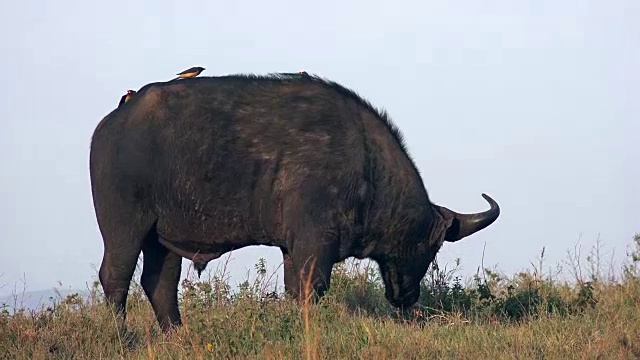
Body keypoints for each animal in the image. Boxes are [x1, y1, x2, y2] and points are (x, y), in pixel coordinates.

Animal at [90, 73, 500, 332]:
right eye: (429, 246)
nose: (409, 296)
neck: (364, 162)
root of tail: (113, 122)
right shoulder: (314, 245)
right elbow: (311, 291)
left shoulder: (293, 248)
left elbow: (294, 291)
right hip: (125, 229)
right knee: (116, 278)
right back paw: (121, 337)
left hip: (164, 239)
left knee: (159, 284)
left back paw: (177, 335)